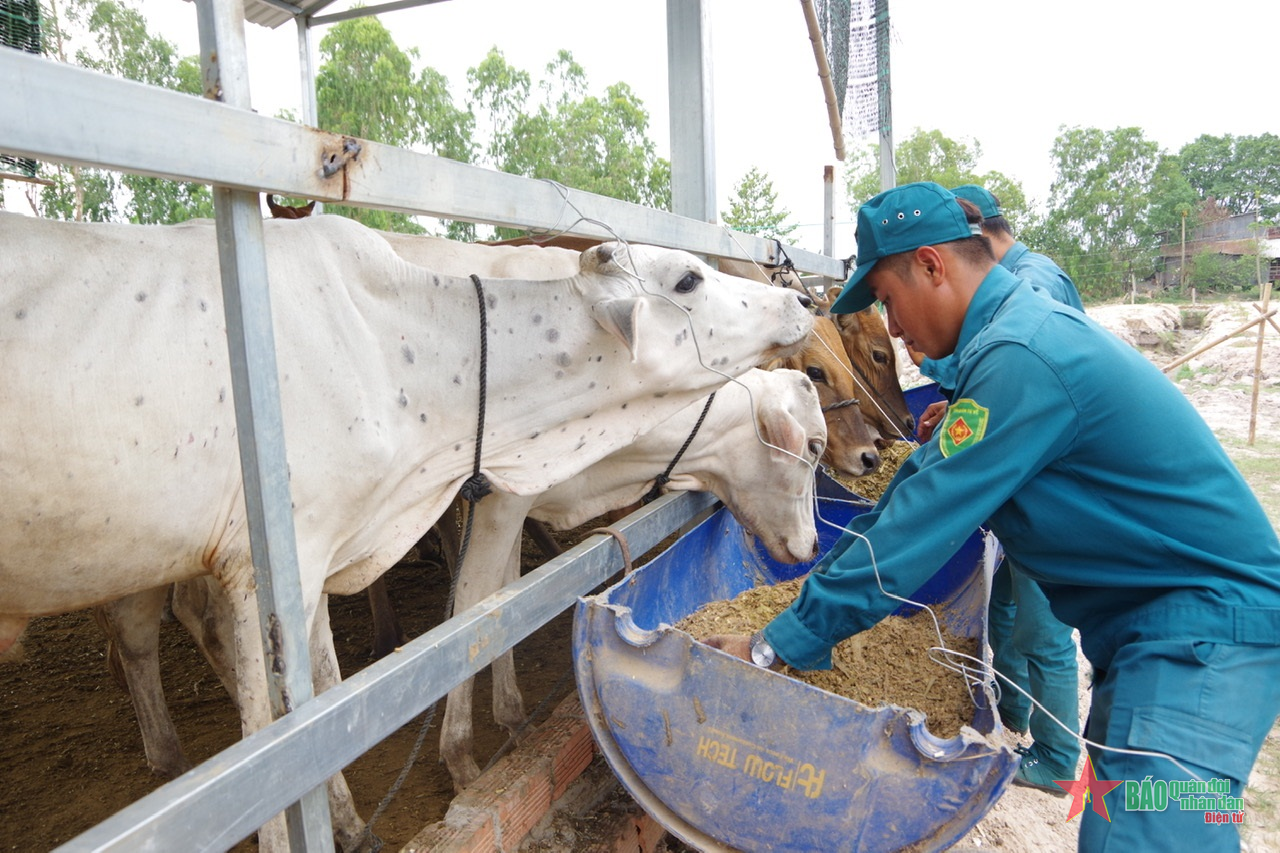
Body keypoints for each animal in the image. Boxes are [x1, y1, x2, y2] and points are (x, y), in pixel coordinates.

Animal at [0, 208, 814, 845]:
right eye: (688, 279)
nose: (799, 299)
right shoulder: (285, 559)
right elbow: (463, 616)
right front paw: (467, 750)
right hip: (126, 553)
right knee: (143, 634)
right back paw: (169, 759)